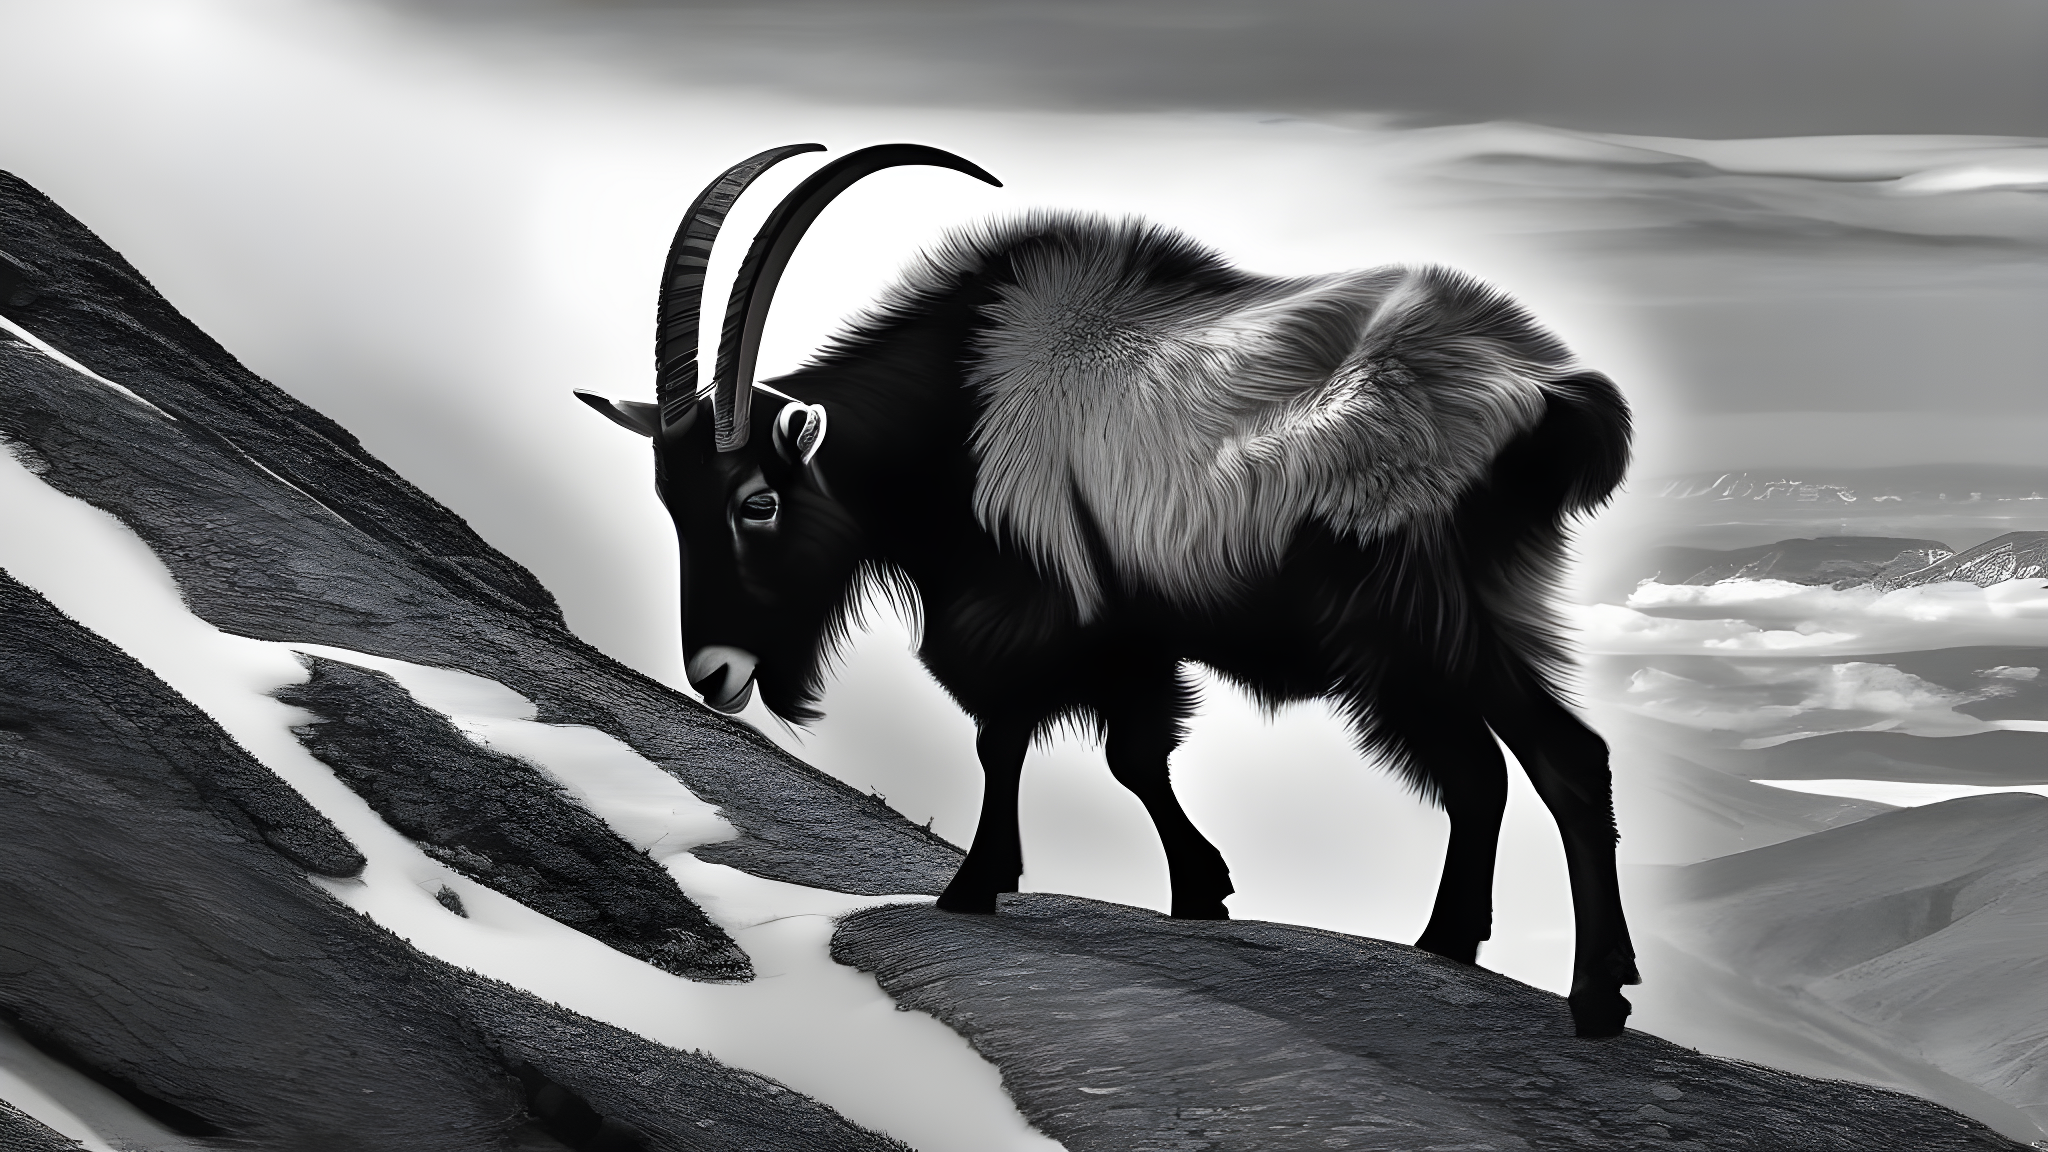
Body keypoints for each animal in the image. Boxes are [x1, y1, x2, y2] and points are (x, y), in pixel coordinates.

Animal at [578, 144, 1640, 1036]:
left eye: (757, 502)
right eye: (670, 502)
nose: (714, 673)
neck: (965, 392)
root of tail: (1545, 393)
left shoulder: (1032, 612)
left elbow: (1006, 736)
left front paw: (974, 885)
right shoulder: (1130, 636)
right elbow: (1136, 755)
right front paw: (1201, 891)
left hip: (1418, 625)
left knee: (1559, 761)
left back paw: (1596, 995)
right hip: (1467, 618)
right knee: (1486, 773)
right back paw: (1450, 944)